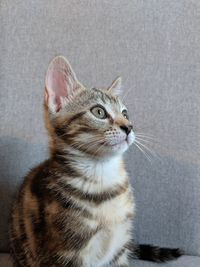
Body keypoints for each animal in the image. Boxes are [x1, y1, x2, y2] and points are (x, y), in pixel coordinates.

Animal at [9, 55, 182, 266]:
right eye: (99, 111)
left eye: (125, 113)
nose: (129, 127)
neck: (103, 178)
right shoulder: (67, 254)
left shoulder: (120, 248)